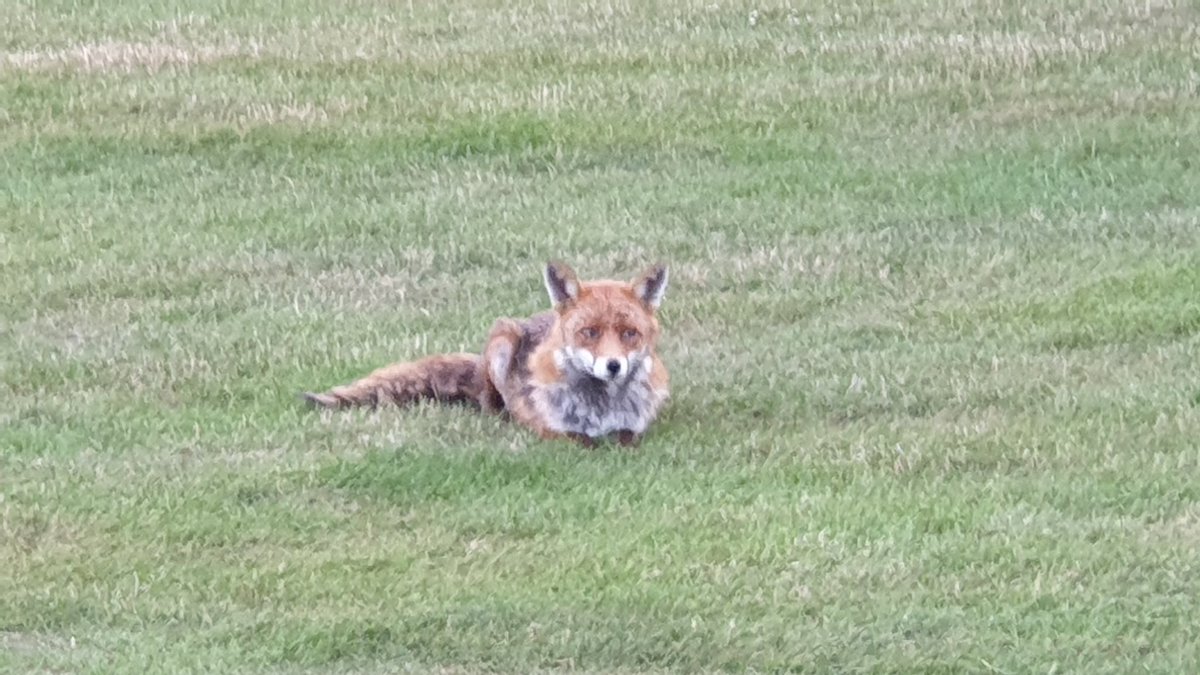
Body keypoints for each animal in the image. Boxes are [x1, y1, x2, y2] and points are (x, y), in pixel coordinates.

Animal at [303, 262, 670, 446]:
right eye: (589, 332)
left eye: (629, 334)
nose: (613, 365)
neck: (601, 407)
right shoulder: (548, 428)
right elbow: (578, 441)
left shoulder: (637, 427)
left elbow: (627, 438)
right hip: (501, 342)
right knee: (488, 400)